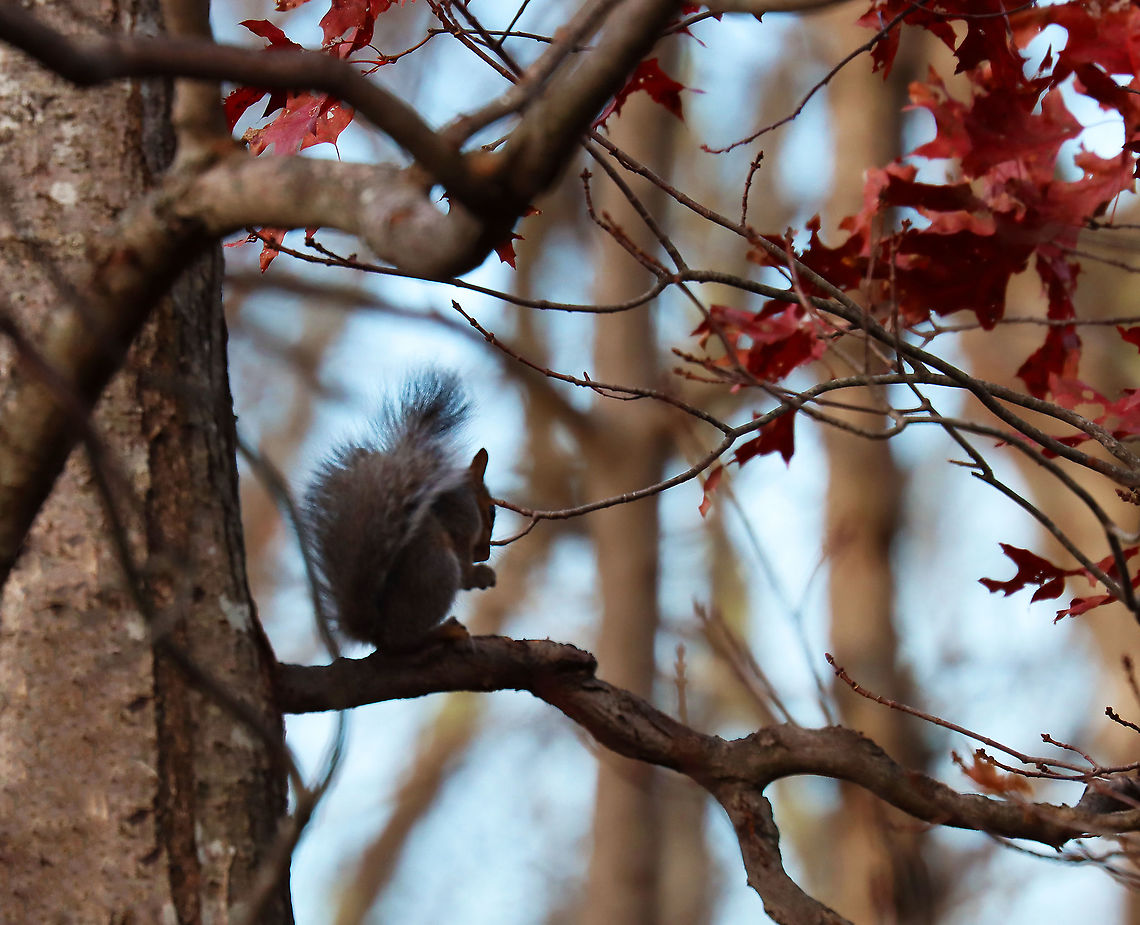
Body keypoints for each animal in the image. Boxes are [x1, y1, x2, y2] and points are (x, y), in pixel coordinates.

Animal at [304, 372, 496, 652]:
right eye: (491, 512)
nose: (484, 554)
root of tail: (376, 633)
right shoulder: (463, 518)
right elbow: (464, 569)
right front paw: (480, 575)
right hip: (437, 569)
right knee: (403, 639)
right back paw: (441, 632)